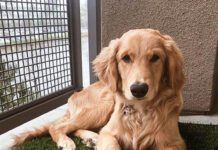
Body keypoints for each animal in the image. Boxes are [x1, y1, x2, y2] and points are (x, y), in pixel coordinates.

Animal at [12, 28, 186, 149]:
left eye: (155, 57)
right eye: (125, 58)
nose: (138, 89)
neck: (140, 112)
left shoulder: (174, 142)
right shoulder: (109, 133)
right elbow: (111, 142)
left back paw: (91, 138)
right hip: (103, 105)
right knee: (57, 126)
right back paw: (67, 142)